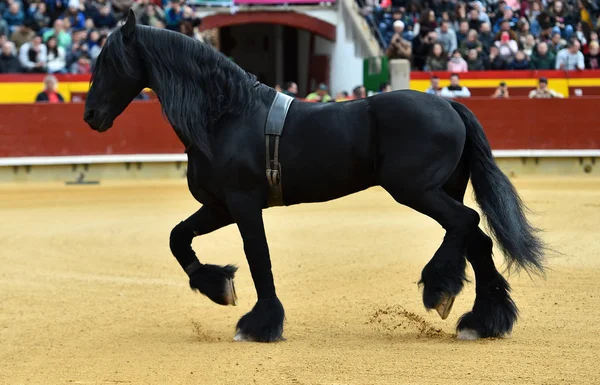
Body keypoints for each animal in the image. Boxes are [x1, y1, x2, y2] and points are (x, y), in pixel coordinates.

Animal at [82, 10, 548, 342]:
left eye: (109, 63)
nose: (90, 116)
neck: (226, 115)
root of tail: (448, 104)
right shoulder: (218, 206)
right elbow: (179, 237)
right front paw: (219, 286)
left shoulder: (243, 205)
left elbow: (259, 257)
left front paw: (259, 325)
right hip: (441, 189)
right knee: (476, 238)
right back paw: (483, 320)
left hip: (417, 190)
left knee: (466, 223)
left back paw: (440, 290)